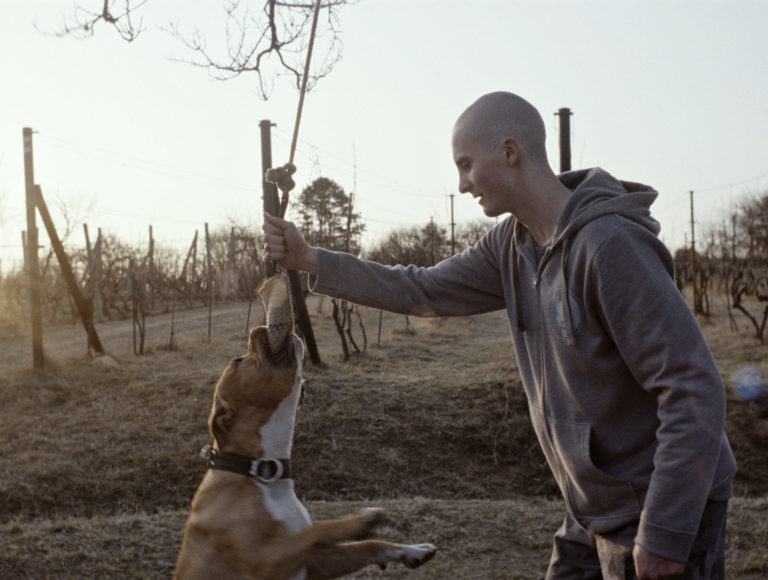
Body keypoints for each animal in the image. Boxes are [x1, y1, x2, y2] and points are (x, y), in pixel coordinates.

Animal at [174, 323, 437, 579]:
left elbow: (368, 545)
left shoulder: (314, 562)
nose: (255, 328)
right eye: (238, 362)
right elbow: (319, 530)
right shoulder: (265, 558)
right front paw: (360, 522)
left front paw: (412, 550)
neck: (259, 473)